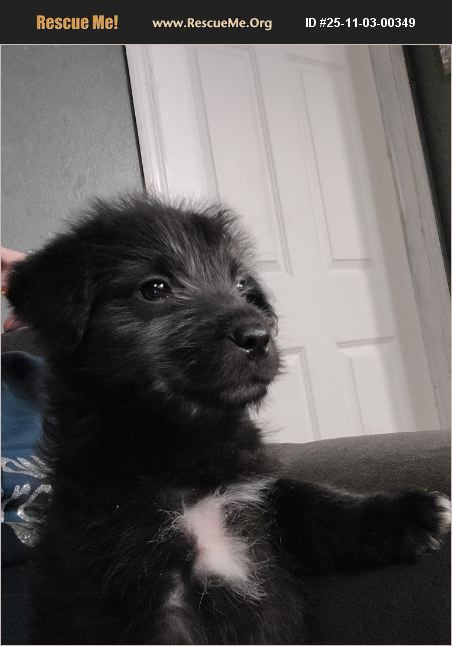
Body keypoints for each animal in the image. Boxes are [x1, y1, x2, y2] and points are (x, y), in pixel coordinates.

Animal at [7, 194, 451, 644]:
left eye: (242, 287)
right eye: (154, 288)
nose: (259, 337)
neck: (182, 447)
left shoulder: (255, 502)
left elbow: (307, 498)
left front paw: (410, 512)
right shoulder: (126, 582)